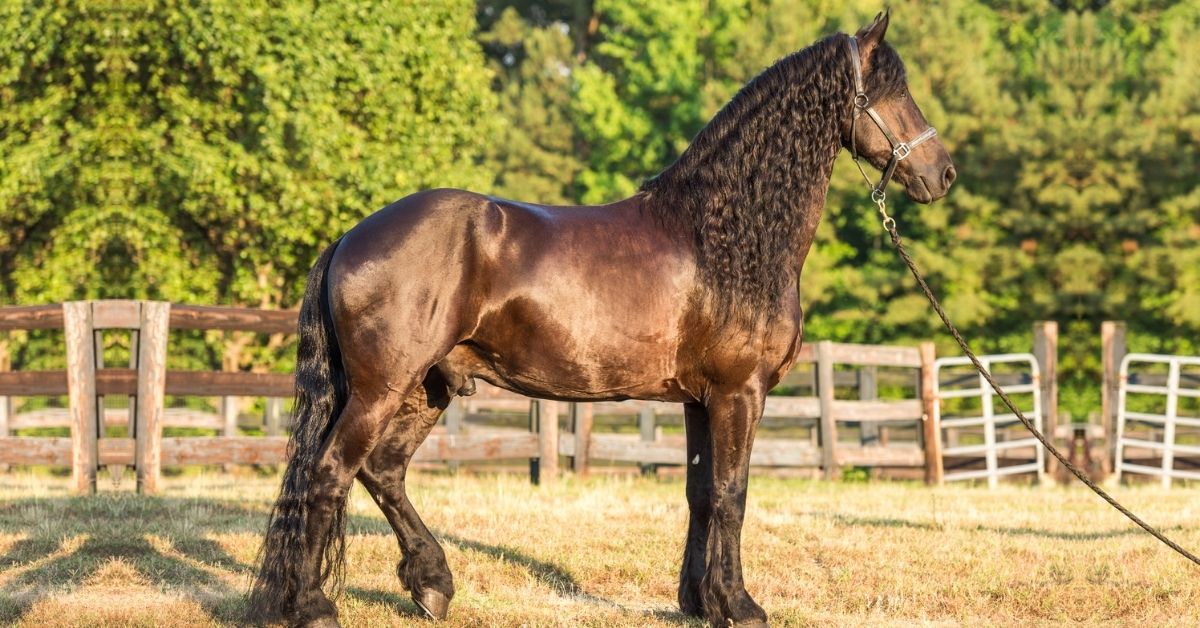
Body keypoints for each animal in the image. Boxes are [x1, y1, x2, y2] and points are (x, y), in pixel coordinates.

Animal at [250, 11, 955, 628]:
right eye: (893, 91)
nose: (942, 173)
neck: (723, 234)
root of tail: (350, 238)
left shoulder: (699, 400)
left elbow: (701, 495)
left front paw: (700, 602)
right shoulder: (740, 393)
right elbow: (733, 494)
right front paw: (741, 606)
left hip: (427, 387)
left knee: (382, 471)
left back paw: (431, 585)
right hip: (382, 388)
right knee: (329, 473)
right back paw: (313, 606)